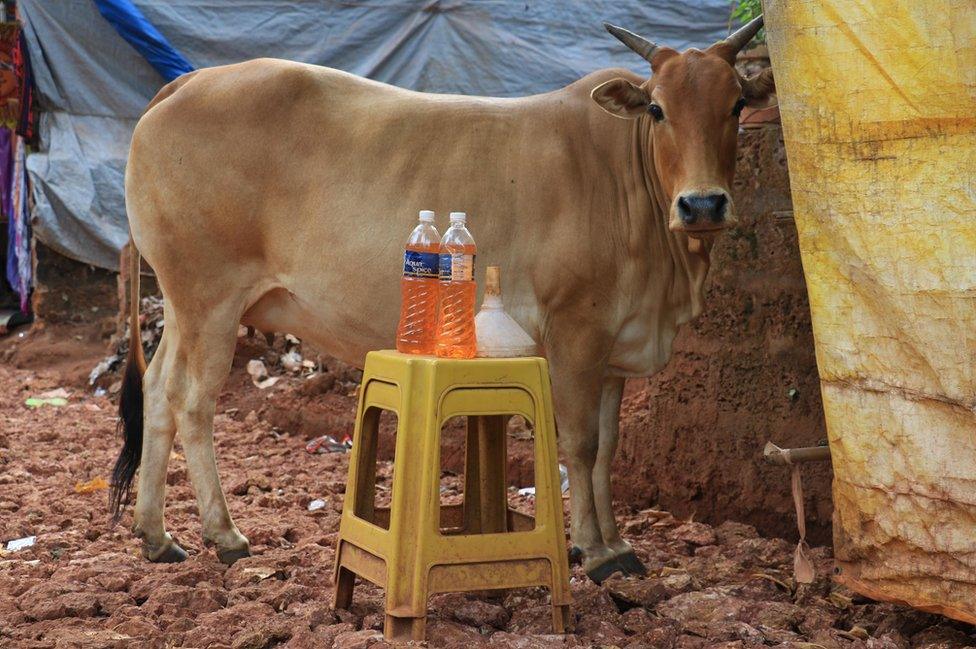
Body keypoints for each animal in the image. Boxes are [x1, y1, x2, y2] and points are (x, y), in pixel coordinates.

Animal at [110, 16, 772, 584]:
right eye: (657, 109)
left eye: (737, 104)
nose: (703, 204)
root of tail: (192, 79)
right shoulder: (576, 332)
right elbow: (581, 446)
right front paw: (595, 551)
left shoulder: (614, 348)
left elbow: (608, 449)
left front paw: (615, 544)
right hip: (210, 300)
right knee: (192, 402)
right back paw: (224, 535)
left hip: (184, 306)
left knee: (158, 392)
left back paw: (156, 536)